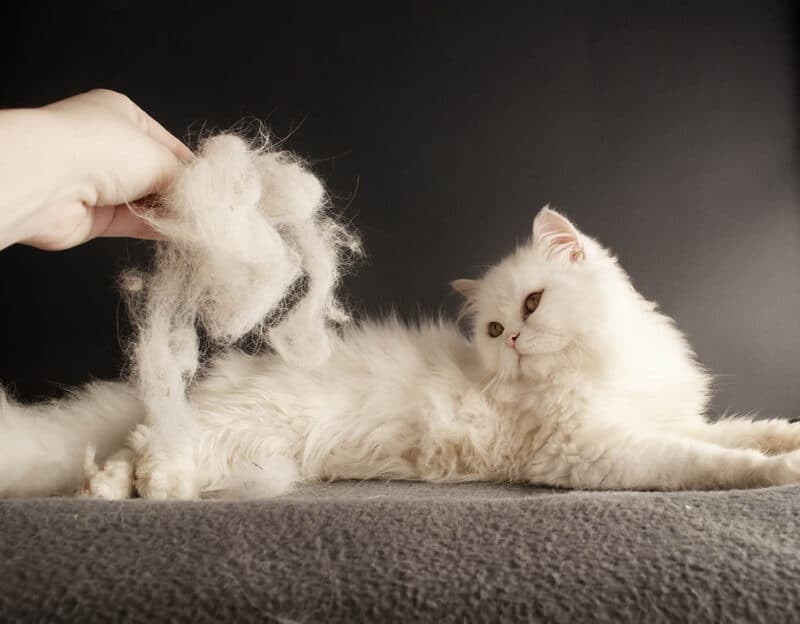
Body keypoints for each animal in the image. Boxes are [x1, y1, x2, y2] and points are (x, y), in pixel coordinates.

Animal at [1, 207, 800, 500]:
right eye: (493, 331)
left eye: (531, 306)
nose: (513, 339)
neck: (605, 369)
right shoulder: (597, 451)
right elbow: (709, 462)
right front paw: (775, 475)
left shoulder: (666, 417)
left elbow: (739, 431)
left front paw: (786, 442)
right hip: (226, 428)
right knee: (143, 449)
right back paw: (131, 488)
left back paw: (114, 486)